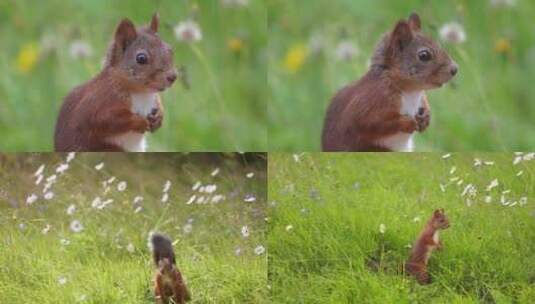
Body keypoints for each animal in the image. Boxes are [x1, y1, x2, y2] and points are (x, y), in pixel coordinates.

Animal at [55, 13, 179, 152]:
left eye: (170, 50)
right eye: (141, 58)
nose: (173, 76)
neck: (141, 93)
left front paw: (159, 116)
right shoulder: (98, 103)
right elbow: (105, 120)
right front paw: (139, 122)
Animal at [320, 13, 458, 151]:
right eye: (424, 55)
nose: (455, 69)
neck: (410, 91)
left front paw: (426, 117)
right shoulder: (370, 101)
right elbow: (370, 123)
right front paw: (407, 123)